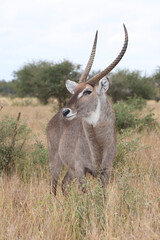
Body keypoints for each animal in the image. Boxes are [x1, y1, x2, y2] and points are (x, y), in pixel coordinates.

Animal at [46, 24, 127, 195]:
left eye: (87, 91)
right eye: (75, 90)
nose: (65, 111)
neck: (99, 145)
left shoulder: (105, 171)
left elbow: (101, 196)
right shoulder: (80, 170)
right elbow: (84, 195)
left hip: (70, 169)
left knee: (63, 184)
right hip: (56, 161)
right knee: (53, 186)